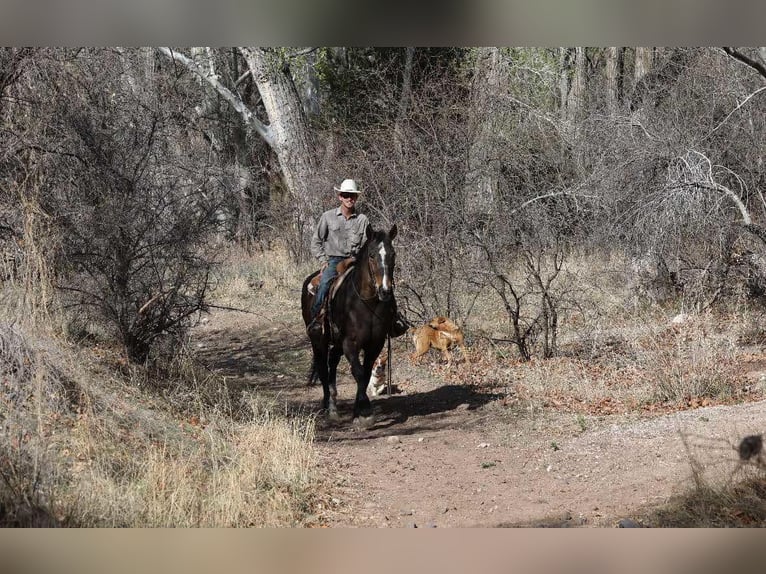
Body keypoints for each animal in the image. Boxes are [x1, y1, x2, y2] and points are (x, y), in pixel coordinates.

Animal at [301, 224, 398, 423]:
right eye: (371, 255)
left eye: (393, 254)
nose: (385, 291)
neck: (366, 304)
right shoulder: (350, 343)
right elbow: (359, 373)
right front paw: (365, 412)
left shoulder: (375, 344)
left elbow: (366, 374)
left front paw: (359, 411)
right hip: (318, 340)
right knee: (322, 367)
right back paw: (328, 407)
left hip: (336, 342)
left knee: (332, 361)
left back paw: (333, 403)